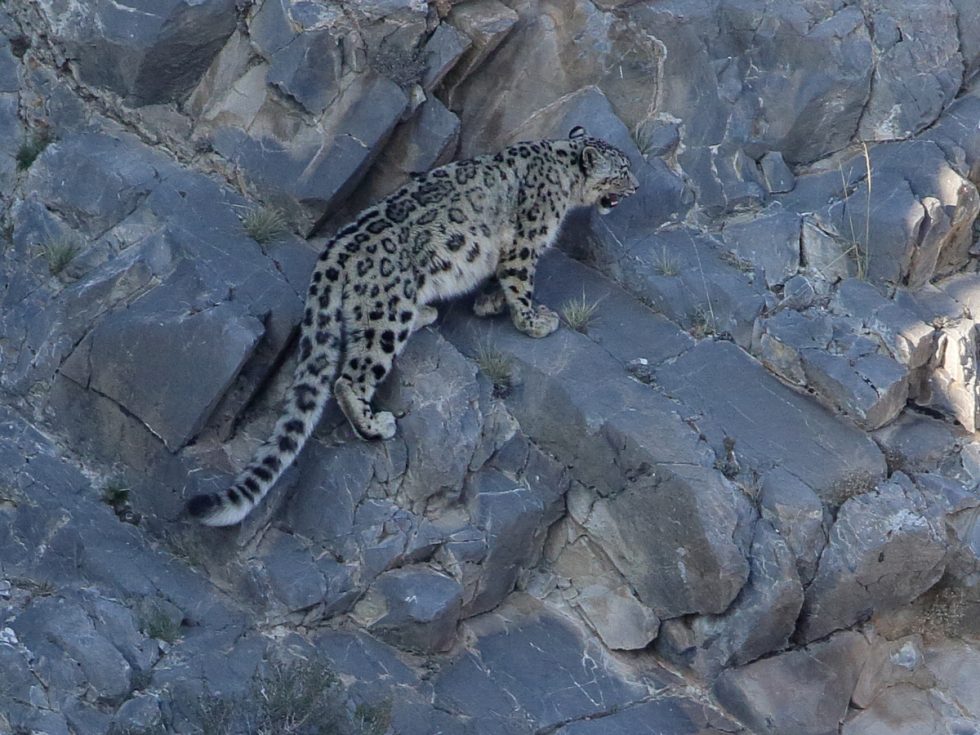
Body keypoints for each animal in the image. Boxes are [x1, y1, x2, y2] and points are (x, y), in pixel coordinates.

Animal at [186, 126, 638, 526]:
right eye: (621, 170)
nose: (635, 187)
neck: (562, 171)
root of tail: (332, 255)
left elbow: (499, 282)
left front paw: (489, 303)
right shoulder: (524, 243)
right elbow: (520, 281)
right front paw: (535, 321)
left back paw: (428, 314)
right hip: (384, 318)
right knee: (349, 378)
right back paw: (376, 425)